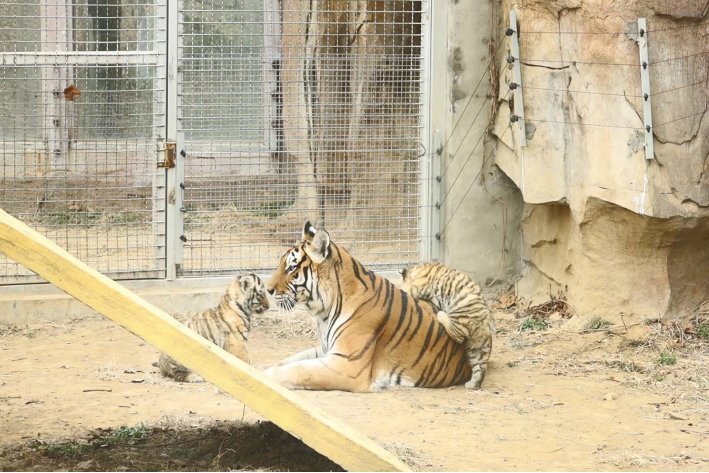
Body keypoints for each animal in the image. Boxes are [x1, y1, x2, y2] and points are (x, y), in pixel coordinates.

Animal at [263, 221, 472, 392]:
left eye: (291, 268)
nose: (268, 289)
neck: (324, 312)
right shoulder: (326, 349)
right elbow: (287, 361)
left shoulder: (347, 364)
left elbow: (297, 370)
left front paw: (265, 378)